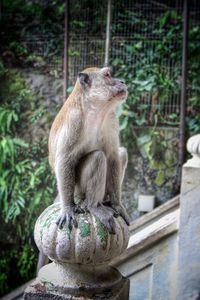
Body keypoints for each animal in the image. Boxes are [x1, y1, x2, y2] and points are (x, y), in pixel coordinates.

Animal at [48, 67, 130, 233]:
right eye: (108, 75)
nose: (122, 81)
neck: (95, 111)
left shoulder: (111, 119)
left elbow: (113, 156)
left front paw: (117, 205)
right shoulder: (74, 121)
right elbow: (64, 160)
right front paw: (67, 208)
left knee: (121, 153)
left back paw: (104, 202)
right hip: (77, 190)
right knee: (98, 157)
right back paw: (92, 205)